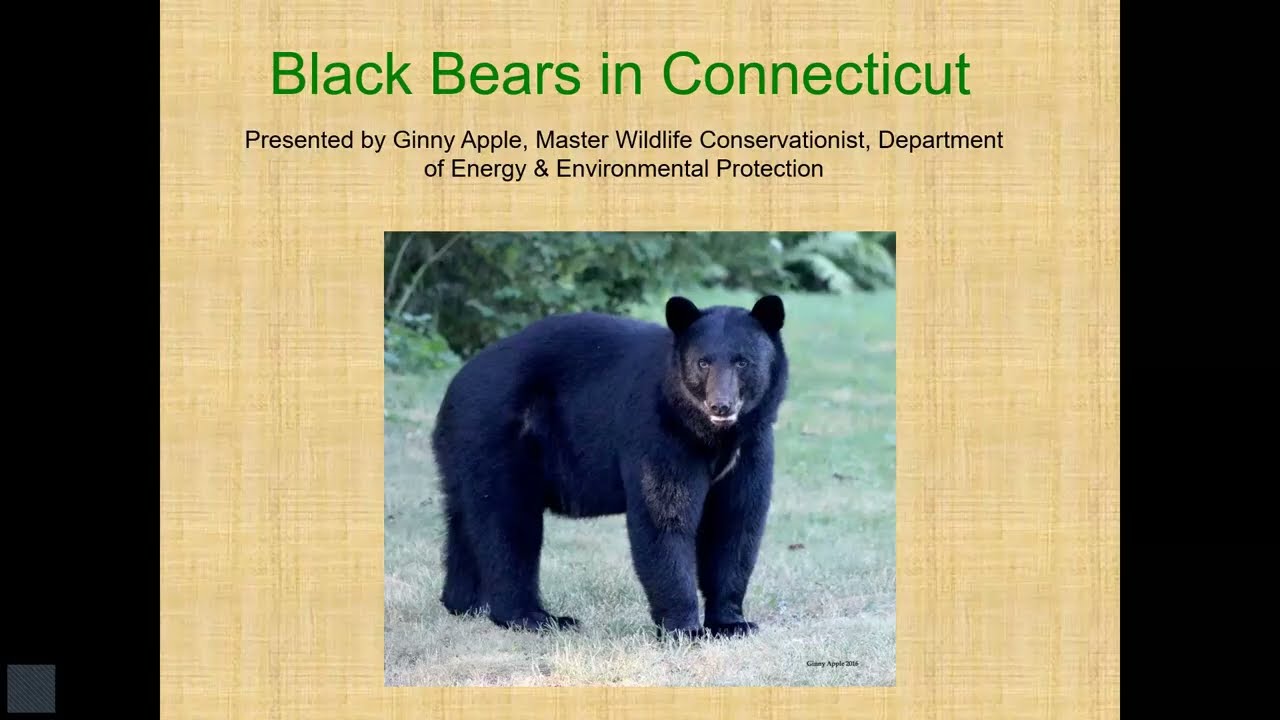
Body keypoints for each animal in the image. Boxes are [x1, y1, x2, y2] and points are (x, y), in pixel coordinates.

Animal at [429, 294, 788, 639]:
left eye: (742, 361)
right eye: (703, 362)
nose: (720, 405)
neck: (713, 436)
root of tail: (455, 385)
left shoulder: (752, 445)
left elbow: (736, 521)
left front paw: (732, 623)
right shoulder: (659, 433)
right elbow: (665, 515)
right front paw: (685, 628)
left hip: (465, 453)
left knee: (464, 520)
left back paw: (465, 603)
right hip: (499, 437)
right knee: (508, 522)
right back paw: (534, 617)